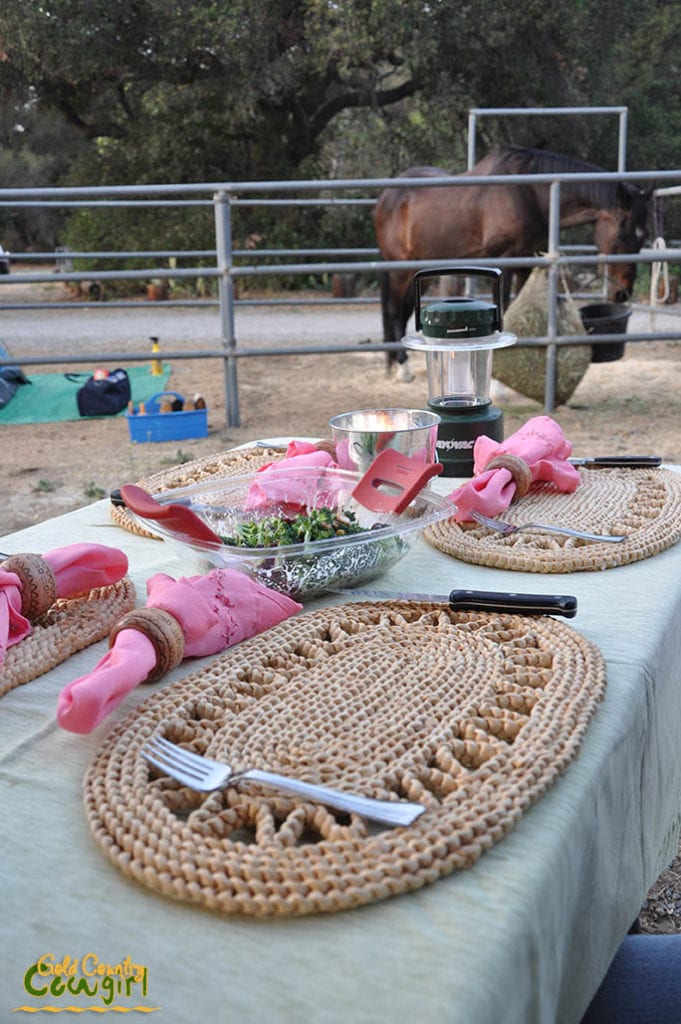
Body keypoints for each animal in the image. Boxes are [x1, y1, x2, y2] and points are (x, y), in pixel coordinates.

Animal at [374, 148, 651, 376]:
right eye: (622, 235)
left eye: (643, 238)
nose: (622, 293)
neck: (529, 194)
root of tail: (386, 196)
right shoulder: (504, 264)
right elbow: (505, 310)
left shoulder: (525, 266)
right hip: (399, 270)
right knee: (395, 311)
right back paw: (403, 368)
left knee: (404, 311)